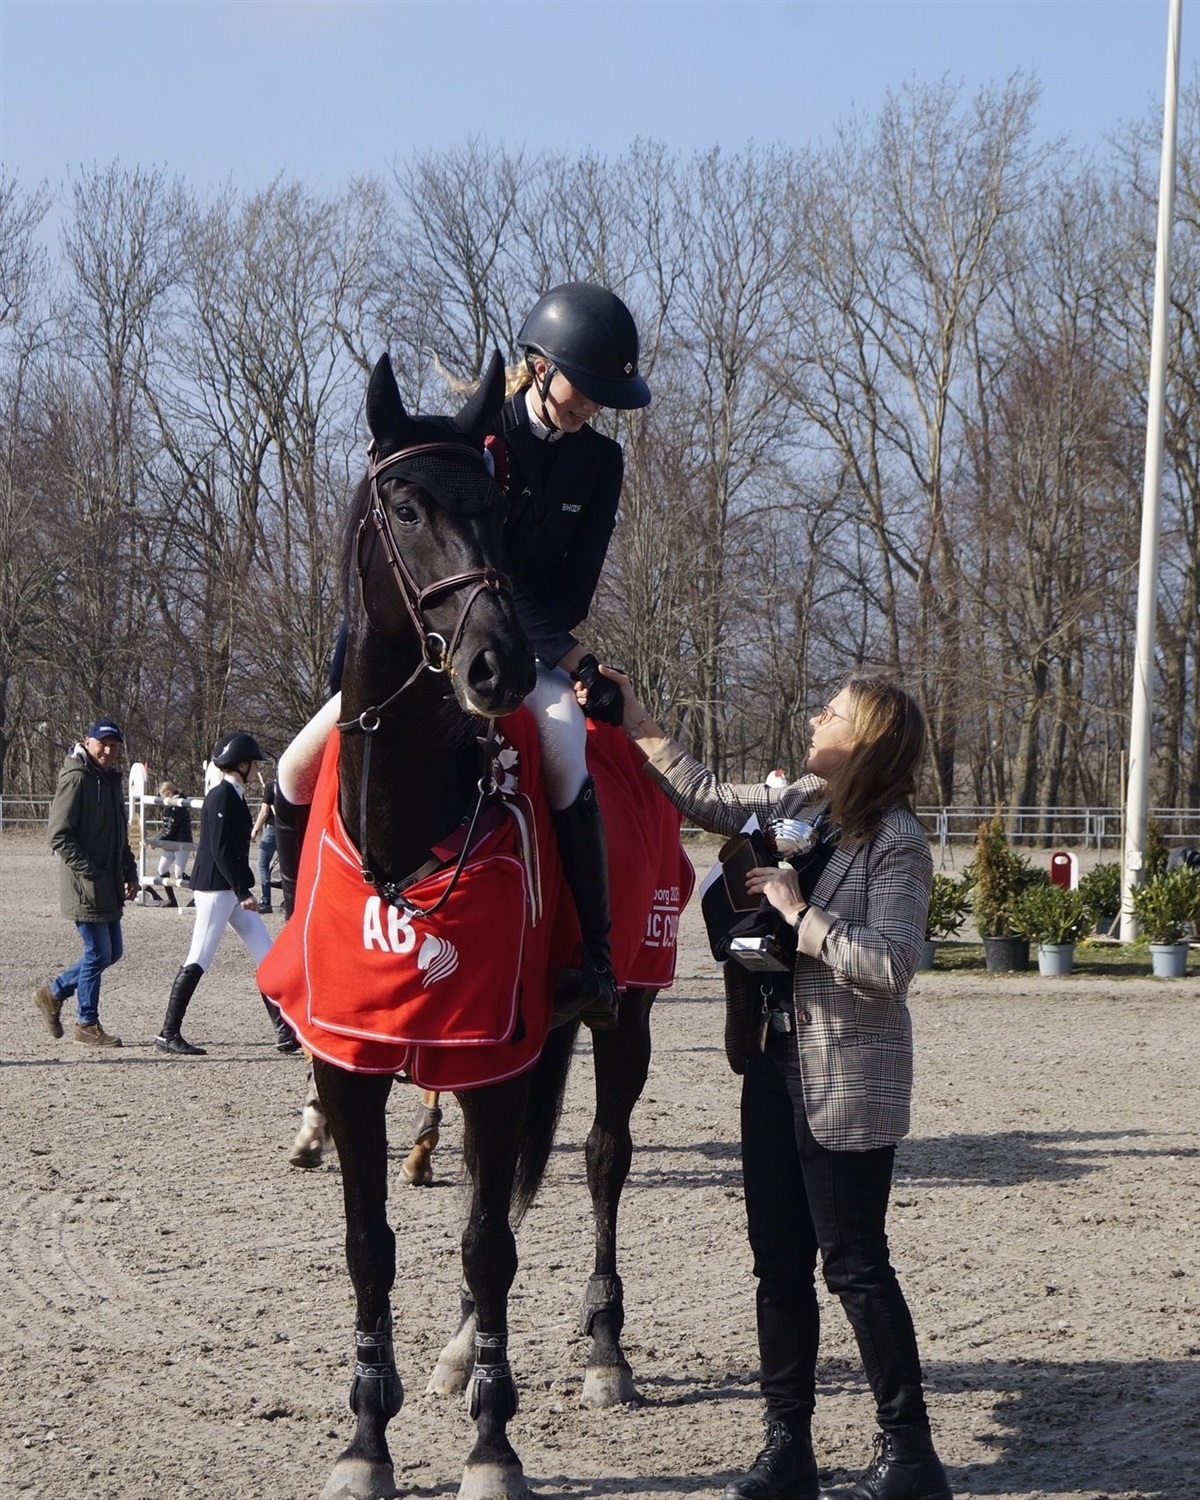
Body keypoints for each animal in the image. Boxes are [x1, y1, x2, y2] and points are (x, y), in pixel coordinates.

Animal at [260, 352, 690, 1499]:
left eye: (496, 509)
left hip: (624, 1016)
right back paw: (458, 1354)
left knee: (600, 1159)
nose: (497, 667)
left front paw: (494, 1449)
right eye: (405, 506)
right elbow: (374, 1244)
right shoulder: (356, 1061)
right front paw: (367, 1440)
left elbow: (492, 1246)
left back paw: (603, 1351)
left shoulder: (497, 1062)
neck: (408, 821)